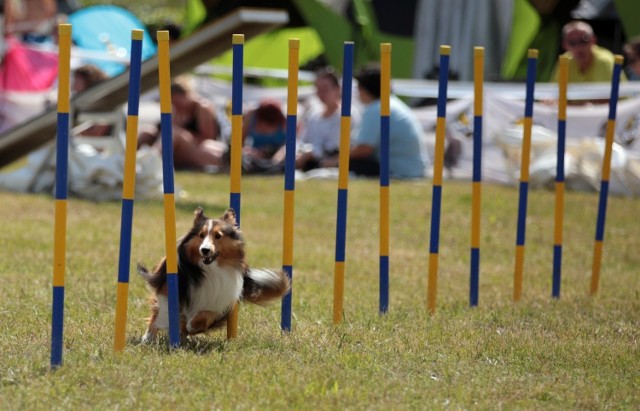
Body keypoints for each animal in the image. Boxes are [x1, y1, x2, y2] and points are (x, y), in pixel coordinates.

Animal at [140, 206, 292, 344]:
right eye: (201, 235)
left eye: (218, 236)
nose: (205, 250)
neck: (210, 269)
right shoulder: (169, 288)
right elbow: (167, 311)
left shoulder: (221, 297)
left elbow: (207, 314)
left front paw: (193, 325)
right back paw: (149, 338)